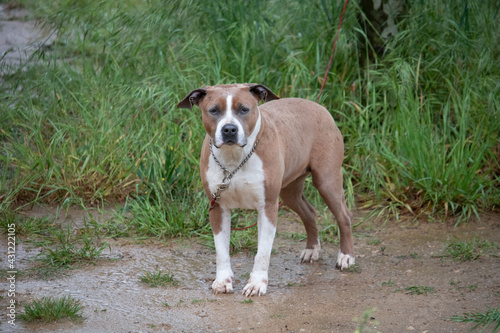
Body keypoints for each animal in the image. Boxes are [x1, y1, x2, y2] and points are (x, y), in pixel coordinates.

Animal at [178, 83, 354, 296]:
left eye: (244, 109)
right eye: (213, 111)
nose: (229, 129)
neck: (235, 158)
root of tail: (319, 106)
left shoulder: (267, 207)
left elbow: (262, 252)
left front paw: (256, 283)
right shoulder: (218, 207)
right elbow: (221, 251)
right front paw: (223, 281)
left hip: (327, 180)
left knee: (343, 216)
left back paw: (346, 257)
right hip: (290, 192)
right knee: (309, 212)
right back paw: (312, 249)